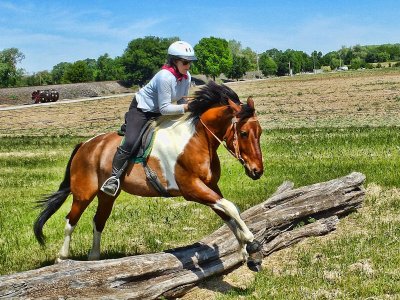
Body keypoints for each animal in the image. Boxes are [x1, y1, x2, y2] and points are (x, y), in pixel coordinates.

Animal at [34, 80, 264, 270]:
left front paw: (245, 250)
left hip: (107, 195)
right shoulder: (191, 188)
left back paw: (94, 258)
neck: (198, 140)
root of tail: (85, 145)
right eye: (244, 133)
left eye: (260, 132)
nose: (257, 171)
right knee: (71, 220)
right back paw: (62, 258)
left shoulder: (210, 186)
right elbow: (230, 207)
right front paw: (250, 241)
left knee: (99, 220)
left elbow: (227, 213)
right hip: (84, 192)